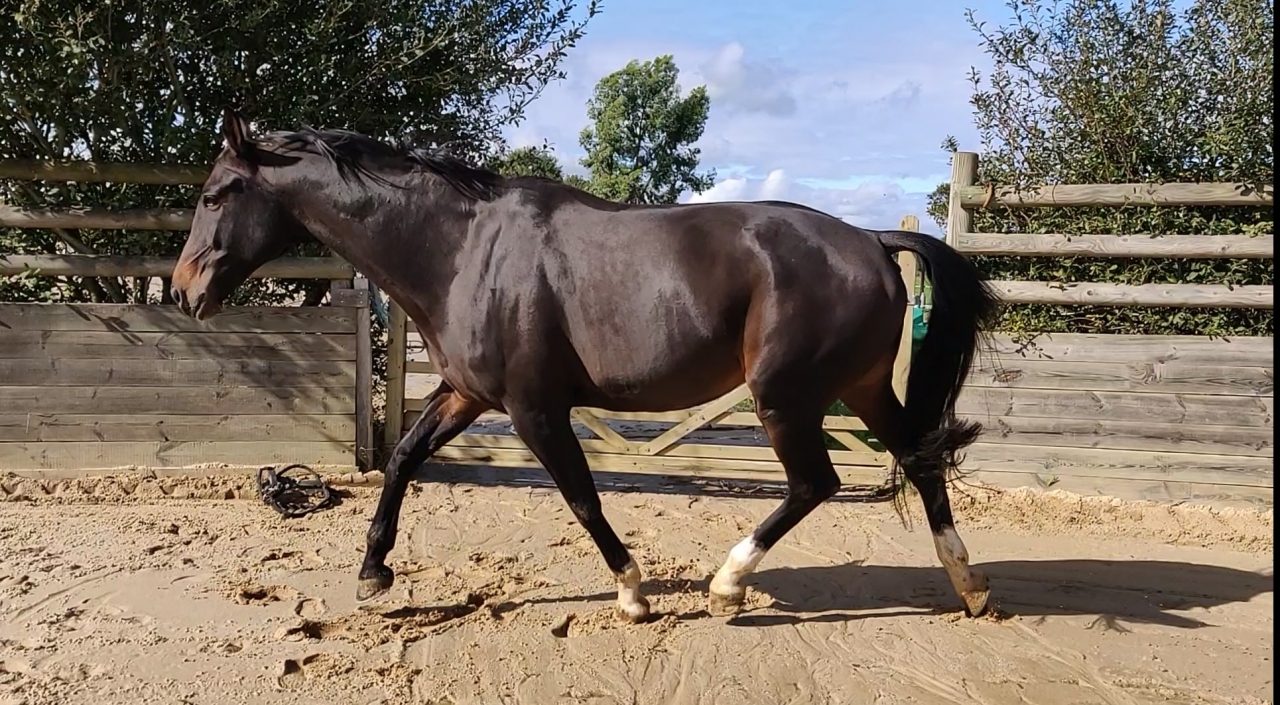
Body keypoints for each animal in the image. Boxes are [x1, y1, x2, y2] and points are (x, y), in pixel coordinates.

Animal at [172, 109, 1000, 622]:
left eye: (218, 192)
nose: (183, 290)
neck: (461, 249)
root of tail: (871, 240)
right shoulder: (466, 394)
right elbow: (403, 456)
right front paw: (373, 572)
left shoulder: (534, 408)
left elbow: (579, 495)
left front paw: (633, 593)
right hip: (861, 391)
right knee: (920, 460)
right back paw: (970, 585)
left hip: (786, 398)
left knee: (814, 483)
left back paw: (728, 586)